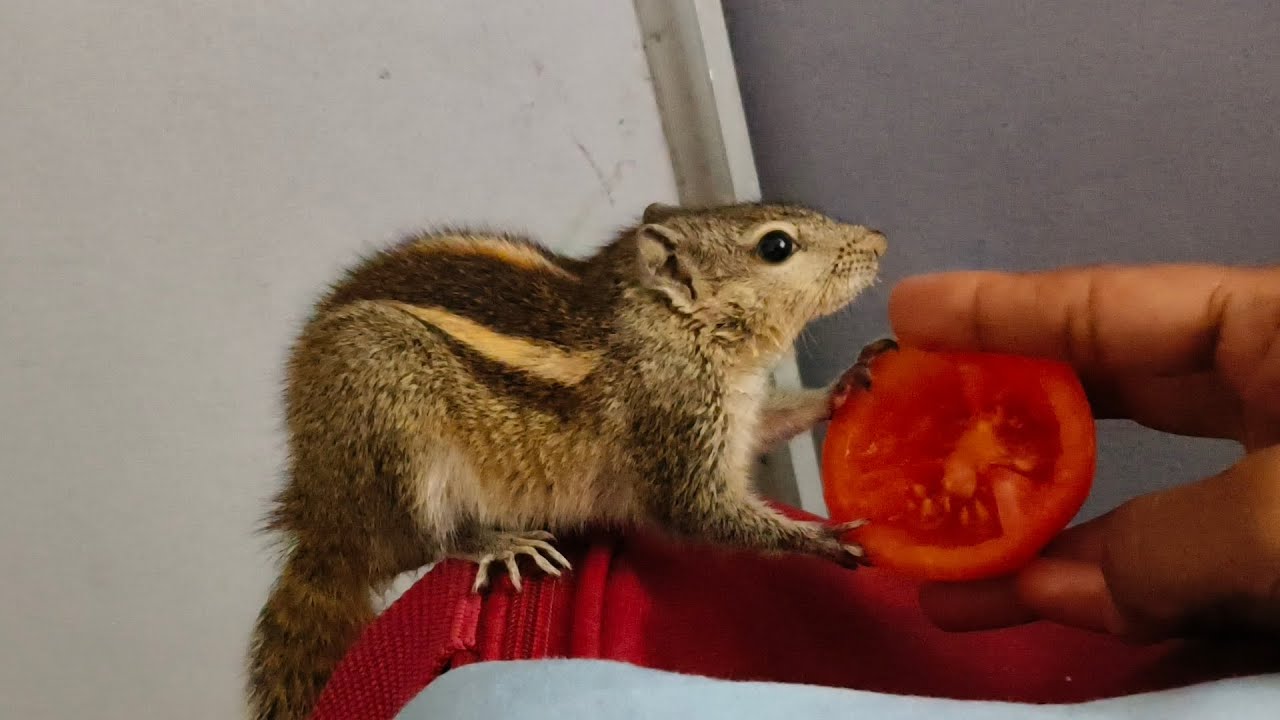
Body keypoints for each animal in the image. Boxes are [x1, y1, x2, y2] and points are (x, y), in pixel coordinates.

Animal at [246, 201, 891, 720]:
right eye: (776, 246)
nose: (880, 240)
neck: (670, 325)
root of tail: (326, 527)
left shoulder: (738, 420)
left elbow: (776, 424)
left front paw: (845, 383)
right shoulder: (678, 424)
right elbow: (702, 513)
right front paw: (823, 539)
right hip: (394, 427)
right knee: (429, 540)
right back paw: (497, 544)